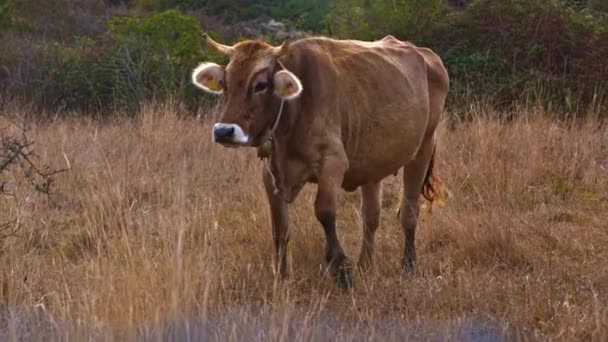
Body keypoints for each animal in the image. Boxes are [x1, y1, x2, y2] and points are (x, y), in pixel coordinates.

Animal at [192, 32, 448, 288]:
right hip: (371, 164)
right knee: (371, 217)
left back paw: (408, 265)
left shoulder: (333, 163)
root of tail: (425, 53)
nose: (224, 131)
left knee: (409, 211)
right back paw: (365, 266)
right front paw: (282, 276)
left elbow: (324, 211)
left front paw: (342, 269)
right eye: (225, 83)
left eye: (260, 85)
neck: (296, 108)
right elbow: (280, 227)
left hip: (423, 148)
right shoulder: (270, 174)